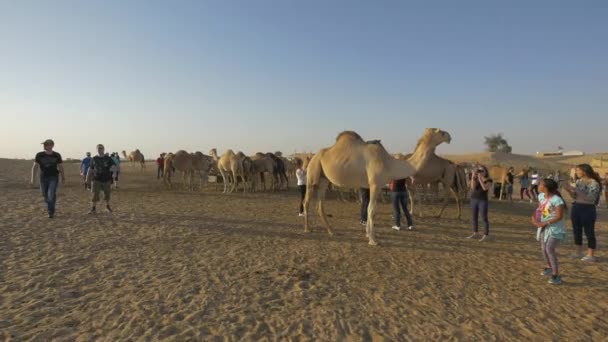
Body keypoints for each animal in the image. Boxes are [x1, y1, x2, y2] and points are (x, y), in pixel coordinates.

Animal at [304, 129, 452, 246]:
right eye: (440, 132)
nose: (449, 136)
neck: (389, 164)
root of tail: (313, 156)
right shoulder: (375, 184)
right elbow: (371, 209)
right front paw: (373, 240)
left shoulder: (373, 185)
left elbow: (370, 209)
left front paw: (368, 234)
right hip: (312, 174)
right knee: (306, 201)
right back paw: (308, 228)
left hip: (323, 180)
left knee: (319, 205)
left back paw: (331, 231)